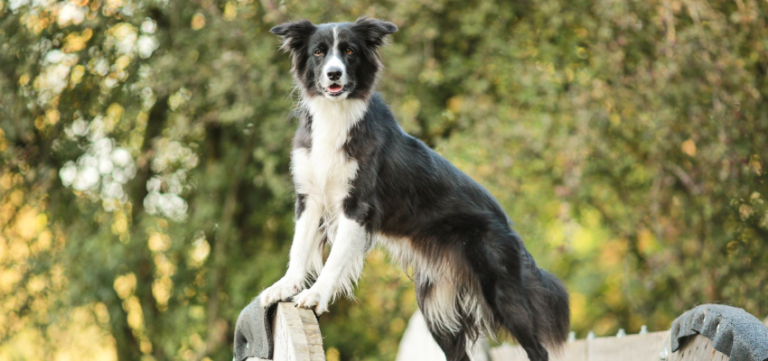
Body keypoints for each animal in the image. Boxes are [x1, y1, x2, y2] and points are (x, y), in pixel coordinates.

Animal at [260, 17, 568, 360]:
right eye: (318, 52)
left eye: (350, 51)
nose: (334, 73)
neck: (335, 115)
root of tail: (507, 224)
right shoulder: (310, 198)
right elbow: (299, 248)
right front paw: (284, 287)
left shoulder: (357, 206)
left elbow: (334, 259)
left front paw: (315, 295)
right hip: (435, 306)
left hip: (501, 288)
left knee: (537, 349)